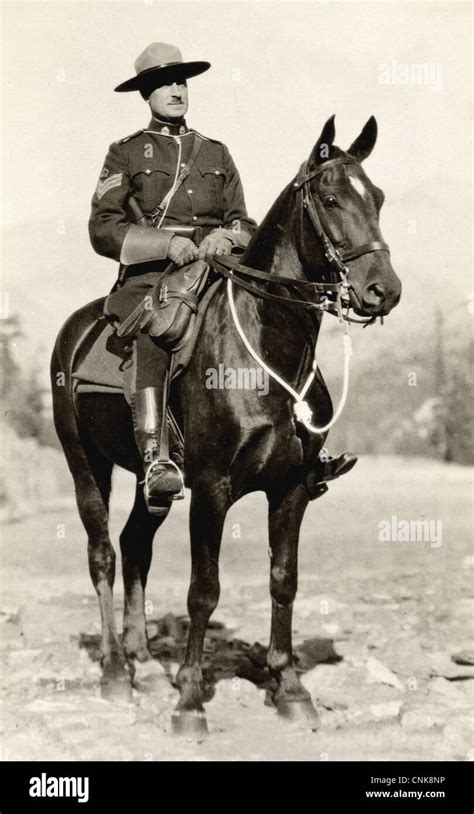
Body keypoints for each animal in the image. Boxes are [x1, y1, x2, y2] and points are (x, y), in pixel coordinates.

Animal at [51, 118, 400, 736]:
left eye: (377, 198)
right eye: (330, 199)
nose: (384, 290)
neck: (265, 350)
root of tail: (77, 328)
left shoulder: (291, 489)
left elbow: (283, 580)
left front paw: (289, 687)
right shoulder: (212, 489)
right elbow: (203, 591)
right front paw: (190, 701)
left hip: (152, 481)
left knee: (134, 543)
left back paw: (144, 659)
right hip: (86, 465)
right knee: (103, 554)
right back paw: (116, 671)